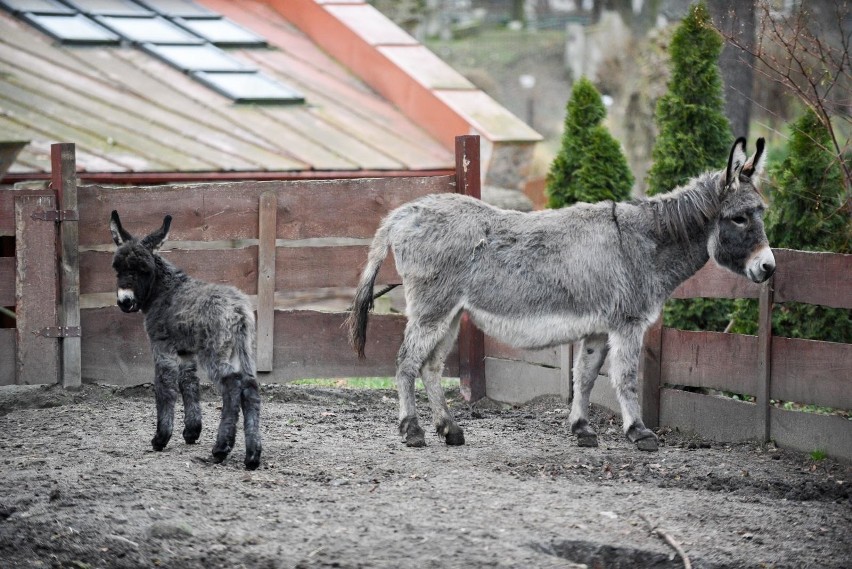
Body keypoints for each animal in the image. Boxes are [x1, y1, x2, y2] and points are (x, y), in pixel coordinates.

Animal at [111, 211, 262, 468]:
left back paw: (221, 449)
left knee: (232, 385)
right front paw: (192, 431)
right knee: (250, 386)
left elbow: (165, 385)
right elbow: (188, 383)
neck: (164, 290)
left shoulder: (161, 345)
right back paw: (252, 456)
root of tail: (238, 310)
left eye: (143, 269)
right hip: (244, 350)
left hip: (214, 352)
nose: (125, 301)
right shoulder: (185, 351)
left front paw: (161, 438)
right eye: (117, 268)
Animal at [350, 135, 776, 450]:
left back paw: (449, 430)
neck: (644, 242)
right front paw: (639, 432)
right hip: (431, 309)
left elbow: (584, 377)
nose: (769, 267)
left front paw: (582, 428)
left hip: (451, 313)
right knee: (406, 361)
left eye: (762, 214)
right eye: (739, 218)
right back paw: (413, 430)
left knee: (432, 366)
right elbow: (626, 377)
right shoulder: (628, 323)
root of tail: (405, 211)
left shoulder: (599, 328)